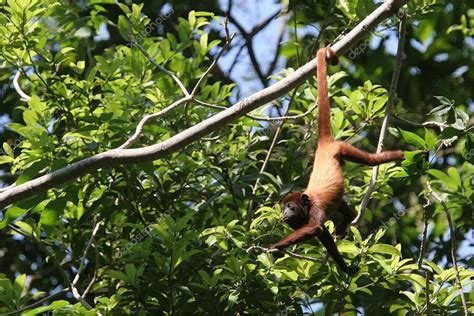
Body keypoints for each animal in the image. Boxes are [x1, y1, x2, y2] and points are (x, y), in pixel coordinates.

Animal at [270, 47, 404, 274]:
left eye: (291, 207)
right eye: (283, 208)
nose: (285, 213)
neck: (307, 203)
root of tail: (324, 144)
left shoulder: (315, 210)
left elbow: (315, 228)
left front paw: (274, 246)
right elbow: (322, 233)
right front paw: (345, 267)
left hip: (342, 147)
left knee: (370, 161)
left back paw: (397, 155)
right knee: (340, 201)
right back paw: (348, 218)